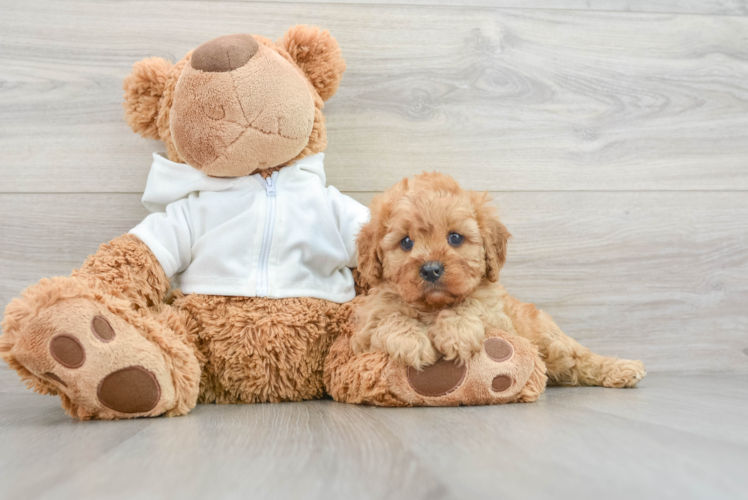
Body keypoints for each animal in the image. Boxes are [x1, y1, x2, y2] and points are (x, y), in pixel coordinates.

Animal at [354, 174, 644, 388]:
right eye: (405, 242)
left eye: (455, 238)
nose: (431, 269)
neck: (433, 306)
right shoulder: (364, 333)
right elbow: (389, 318)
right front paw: (412, 342)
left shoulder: (498, 318)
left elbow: (471, 304)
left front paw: (456, 333)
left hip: (550, 339)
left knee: (581, 358)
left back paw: (623, 369)